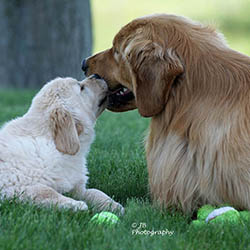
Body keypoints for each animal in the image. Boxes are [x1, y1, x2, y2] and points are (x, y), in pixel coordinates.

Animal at [0, 75, 124, 213]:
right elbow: (45, 191)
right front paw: (75, 205)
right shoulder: (12, 188)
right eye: (81, 87)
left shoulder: (76, 188)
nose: (97, 75)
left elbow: (95, 192)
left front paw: (112, 205)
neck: (53, 144)